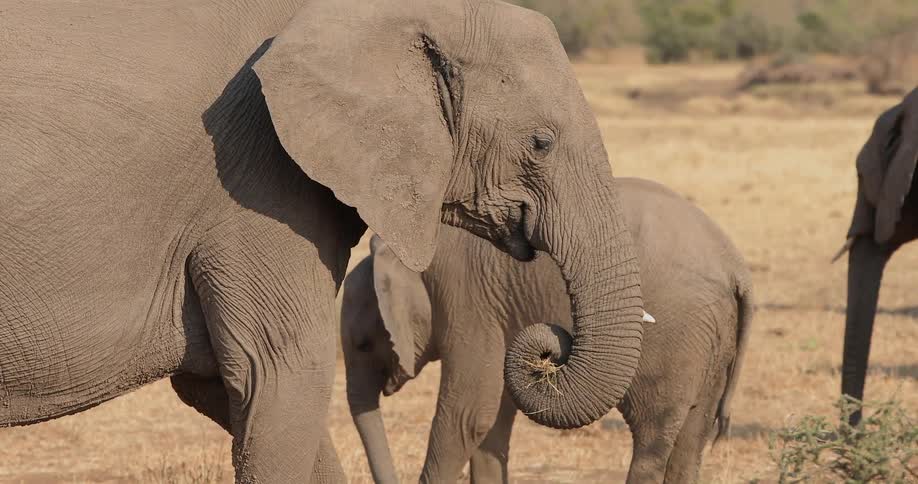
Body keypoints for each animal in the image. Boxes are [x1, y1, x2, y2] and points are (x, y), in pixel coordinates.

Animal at [341, 178, 754, 484]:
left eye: (363, 345)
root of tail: (735, 266)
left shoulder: (468, 302)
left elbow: (468, 416)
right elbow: (492, 423)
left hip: (676, 335)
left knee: (652, 438)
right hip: (714, 337)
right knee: (691, 439)